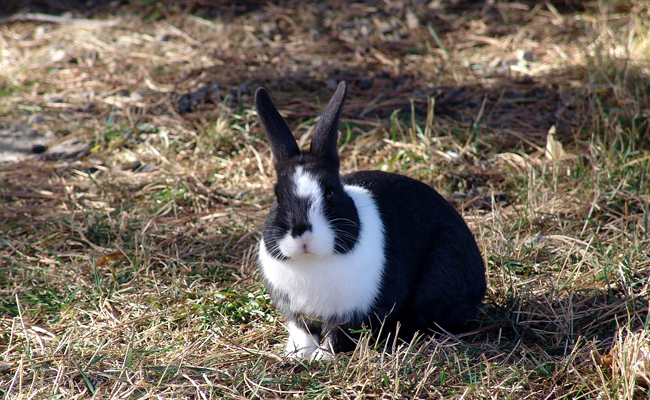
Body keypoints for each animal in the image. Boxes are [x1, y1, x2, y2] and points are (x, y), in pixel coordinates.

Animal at [253, 80, 486, 360]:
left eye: (330, 193)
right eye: (277, 196)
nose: (302, 236)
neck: (313, 261)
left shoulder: (354, 314)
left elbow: (339, 336)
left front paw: (322, 357)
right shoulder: (296, 312)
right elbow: (303, 332)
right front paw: (298, 355)